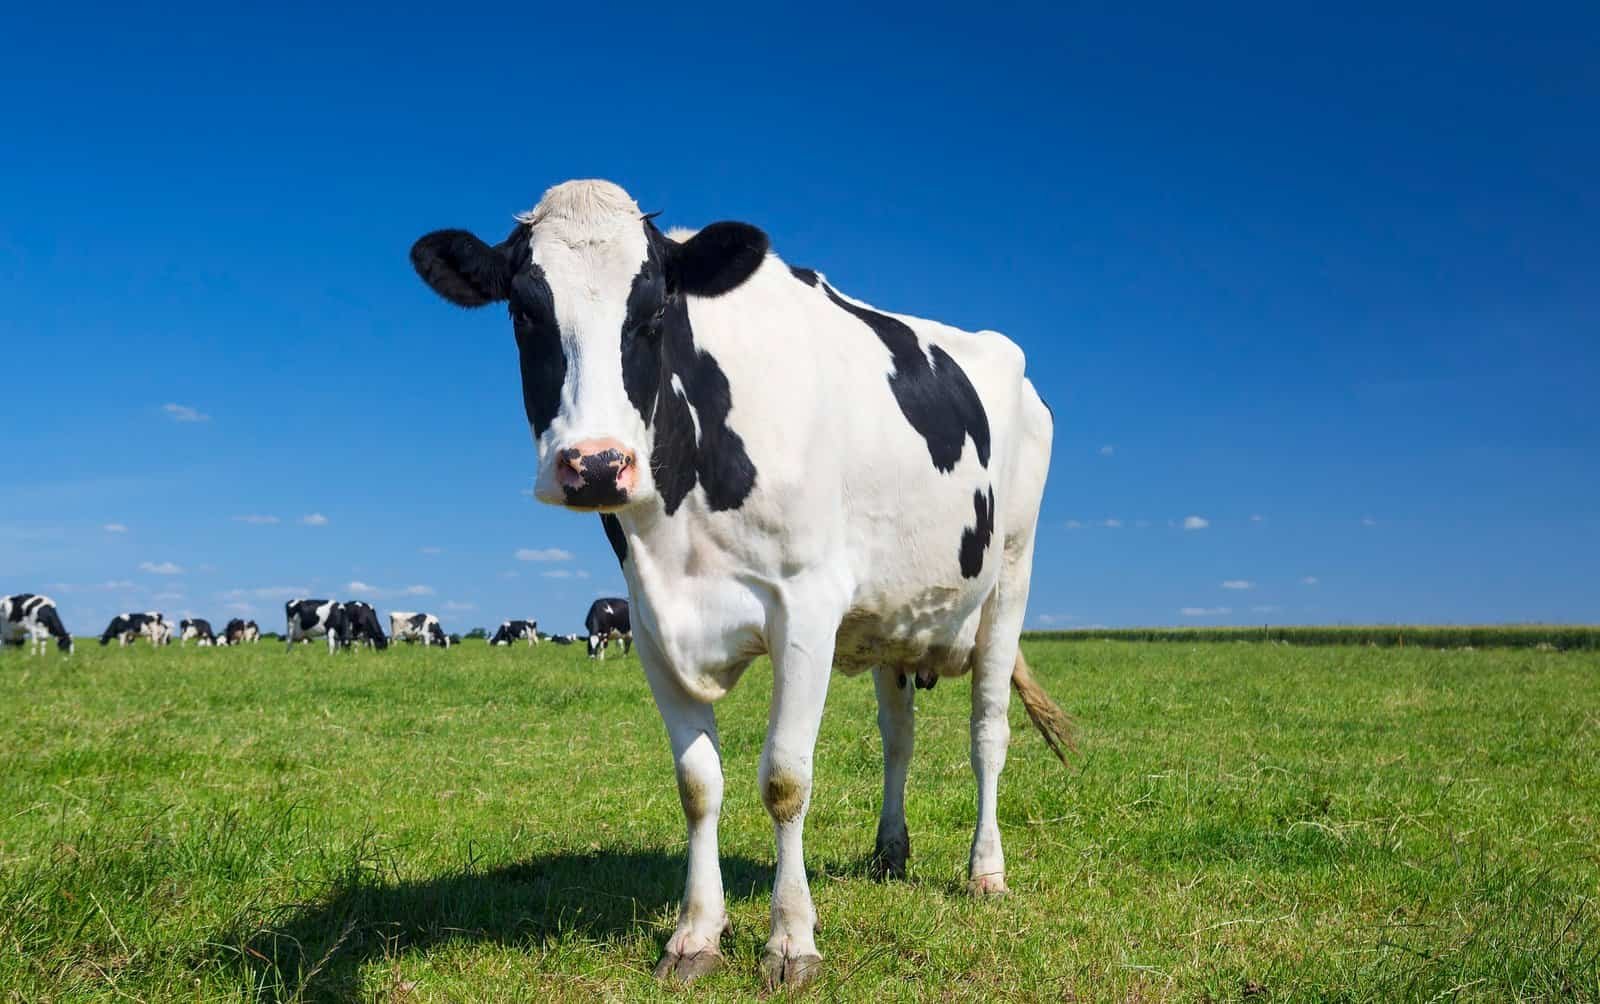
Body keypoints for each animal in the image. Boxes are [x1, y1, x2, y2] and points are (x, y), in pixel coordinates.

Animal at [411, 180, 1070, 988]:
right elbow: (698, 785)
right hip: (895, 618)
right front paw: (696, 933)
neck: (677, 532)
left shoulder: (806, 609)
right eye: (523, 311)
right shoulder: (651, 624)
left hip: (1009, 578)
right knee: (899, 737)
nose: (596, 464)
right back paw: (890, 851)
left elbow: (785, 779)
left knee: (988, 733)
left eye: (655, 313)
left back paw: (985, 870)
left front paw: (791, 940)